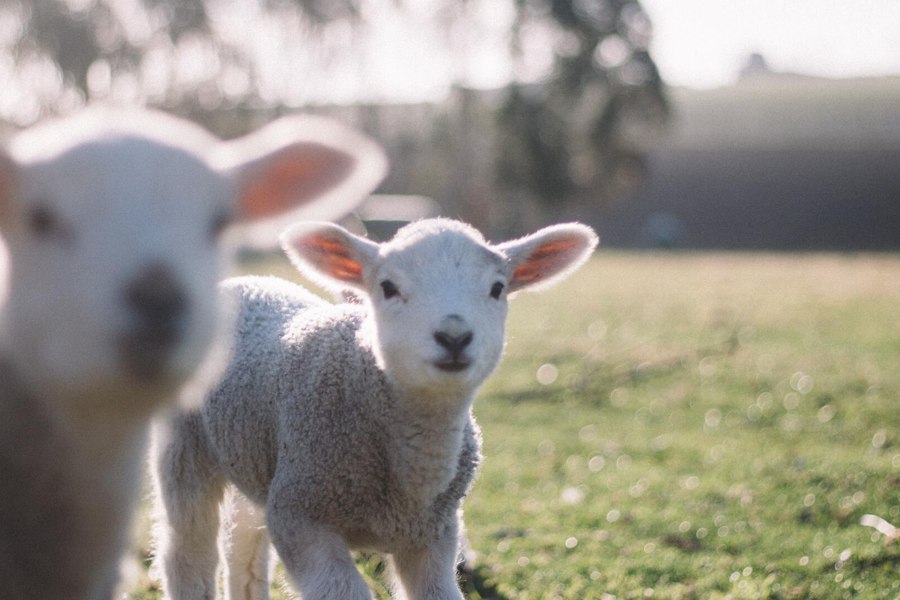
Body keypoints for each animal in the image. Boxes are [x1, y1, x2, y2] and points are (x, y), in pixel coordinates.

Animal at [153, 217, 596, 600]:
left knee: (243, 542)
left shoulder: (434, 535)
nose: (454, 336)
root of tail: (245, 282)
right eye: (388, 287)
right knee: (187, 549)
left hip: (257, 455)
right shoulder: (300, 515)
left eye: (497, 288)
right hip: (184, 447)